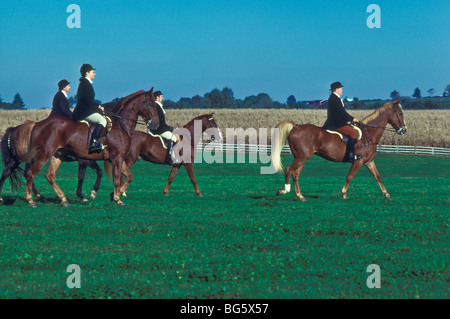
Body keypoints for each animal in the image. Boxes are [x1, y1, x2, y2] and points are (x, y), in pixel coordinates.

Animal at [10, 88, 160, 208]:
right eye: (152, 104)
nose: (156, 125)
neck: (120, 125)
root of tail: (36, 124)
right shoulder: (115, 158)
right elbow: (116, 178)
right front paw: (117, 199)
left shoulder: (117, 158)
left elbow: (129, 176)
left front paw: (115, 194)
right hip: (43, 155)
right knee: (30, 174)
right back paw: (32, 200)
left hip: (56, 156)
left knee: (49, 176)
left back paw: (63, 199)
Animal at [270, 101, 408, 201]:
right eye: (400, 113)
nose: (404, 130)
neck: (369, 134)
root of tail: (296, 126)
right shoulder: (358, 161)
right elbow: (349, 176)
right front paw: (344, 194)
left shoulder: (369, 162)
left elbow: (378, 177)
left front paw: (387, 194)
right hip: (301, 157)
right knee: (288, 170)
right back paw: (284, 190)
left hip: (301, 158)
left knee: (295, 174)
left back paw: (300, 196)